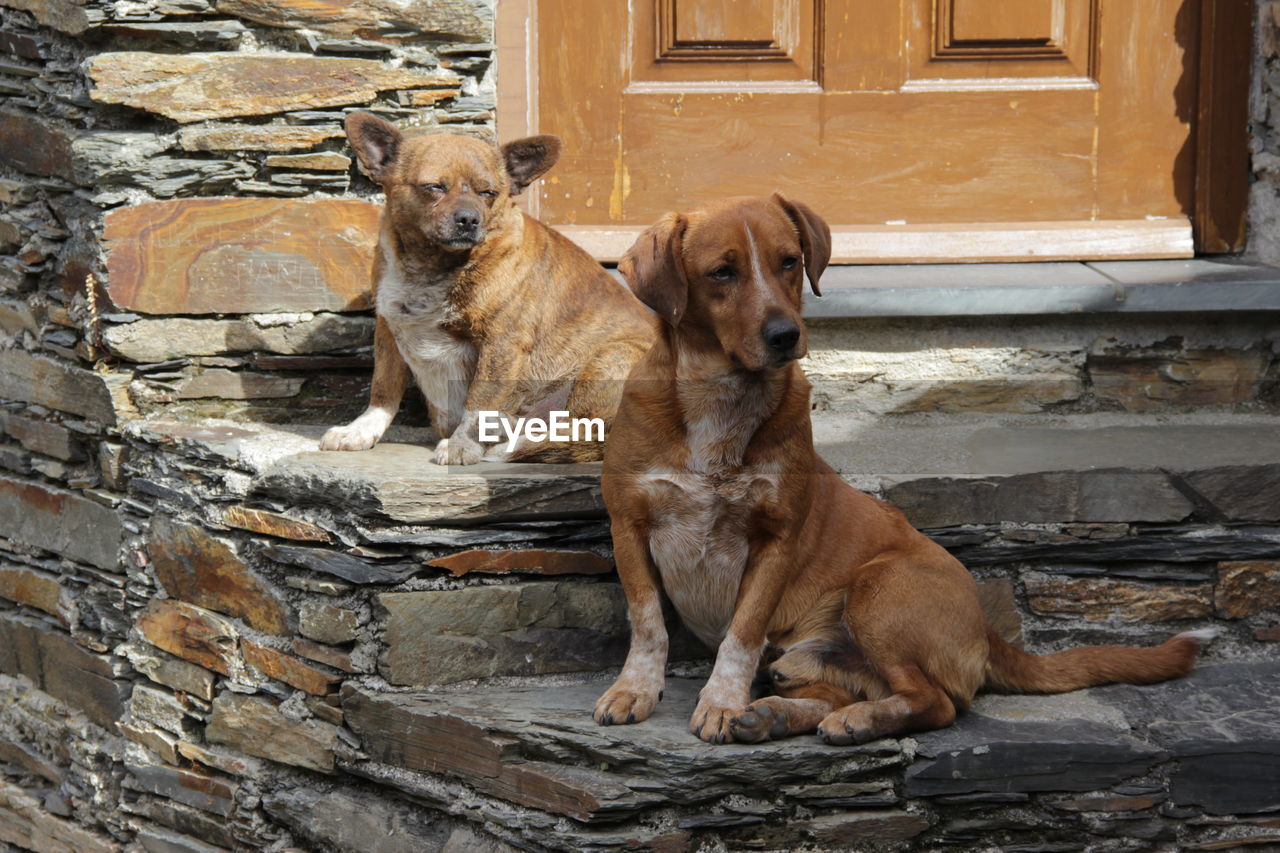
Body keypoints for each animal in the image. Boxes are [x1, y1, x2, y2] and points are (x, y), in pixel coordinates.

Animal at [320, 112, 660, 461]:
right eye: (433, 188)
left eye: (489, 193)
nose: (469, 219)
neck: (432, 268)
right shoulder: (388, 332)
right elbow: (383, 390)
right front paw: (360, 431)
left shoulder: (501, 344)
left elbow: (480, 400)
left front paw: (462, 445)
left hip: (609, 358)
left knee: (587, 434)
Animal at [588, 195, 1208, 742]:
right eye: (722, 272)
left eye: (789, 261)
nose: (786, 335)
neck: (719, 397)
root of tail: (986, 629)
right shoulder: (629, 527)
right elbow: (647, 622)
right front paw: (634, 689)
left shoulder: (774, 542)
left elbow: (739, 635)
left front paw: (719, 702)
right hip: (808, 657)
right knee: (841, 690)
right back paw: (776, 717)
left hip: (878, 589)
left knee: (935, 701)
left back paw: (850, 721)